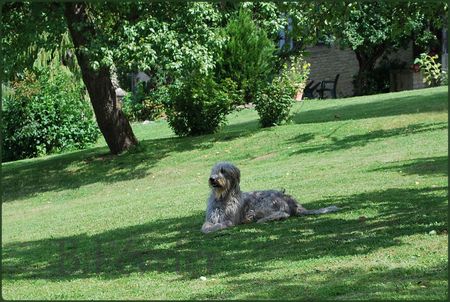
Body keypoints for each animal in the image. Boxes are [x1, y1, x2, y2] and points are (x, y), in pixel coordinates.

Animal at [202, 163, 340, 234]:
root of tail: (290, 200)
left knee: (283, 213)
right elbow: (205, 227)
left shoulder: (231, 220)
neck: (222, 197)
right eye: (213, 170)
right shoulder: (210, 218)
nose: (212, 179)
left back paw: (265, 219)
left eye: (223, 171)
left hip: (264, 204)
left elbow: (221, 224)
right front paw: (208, 228)